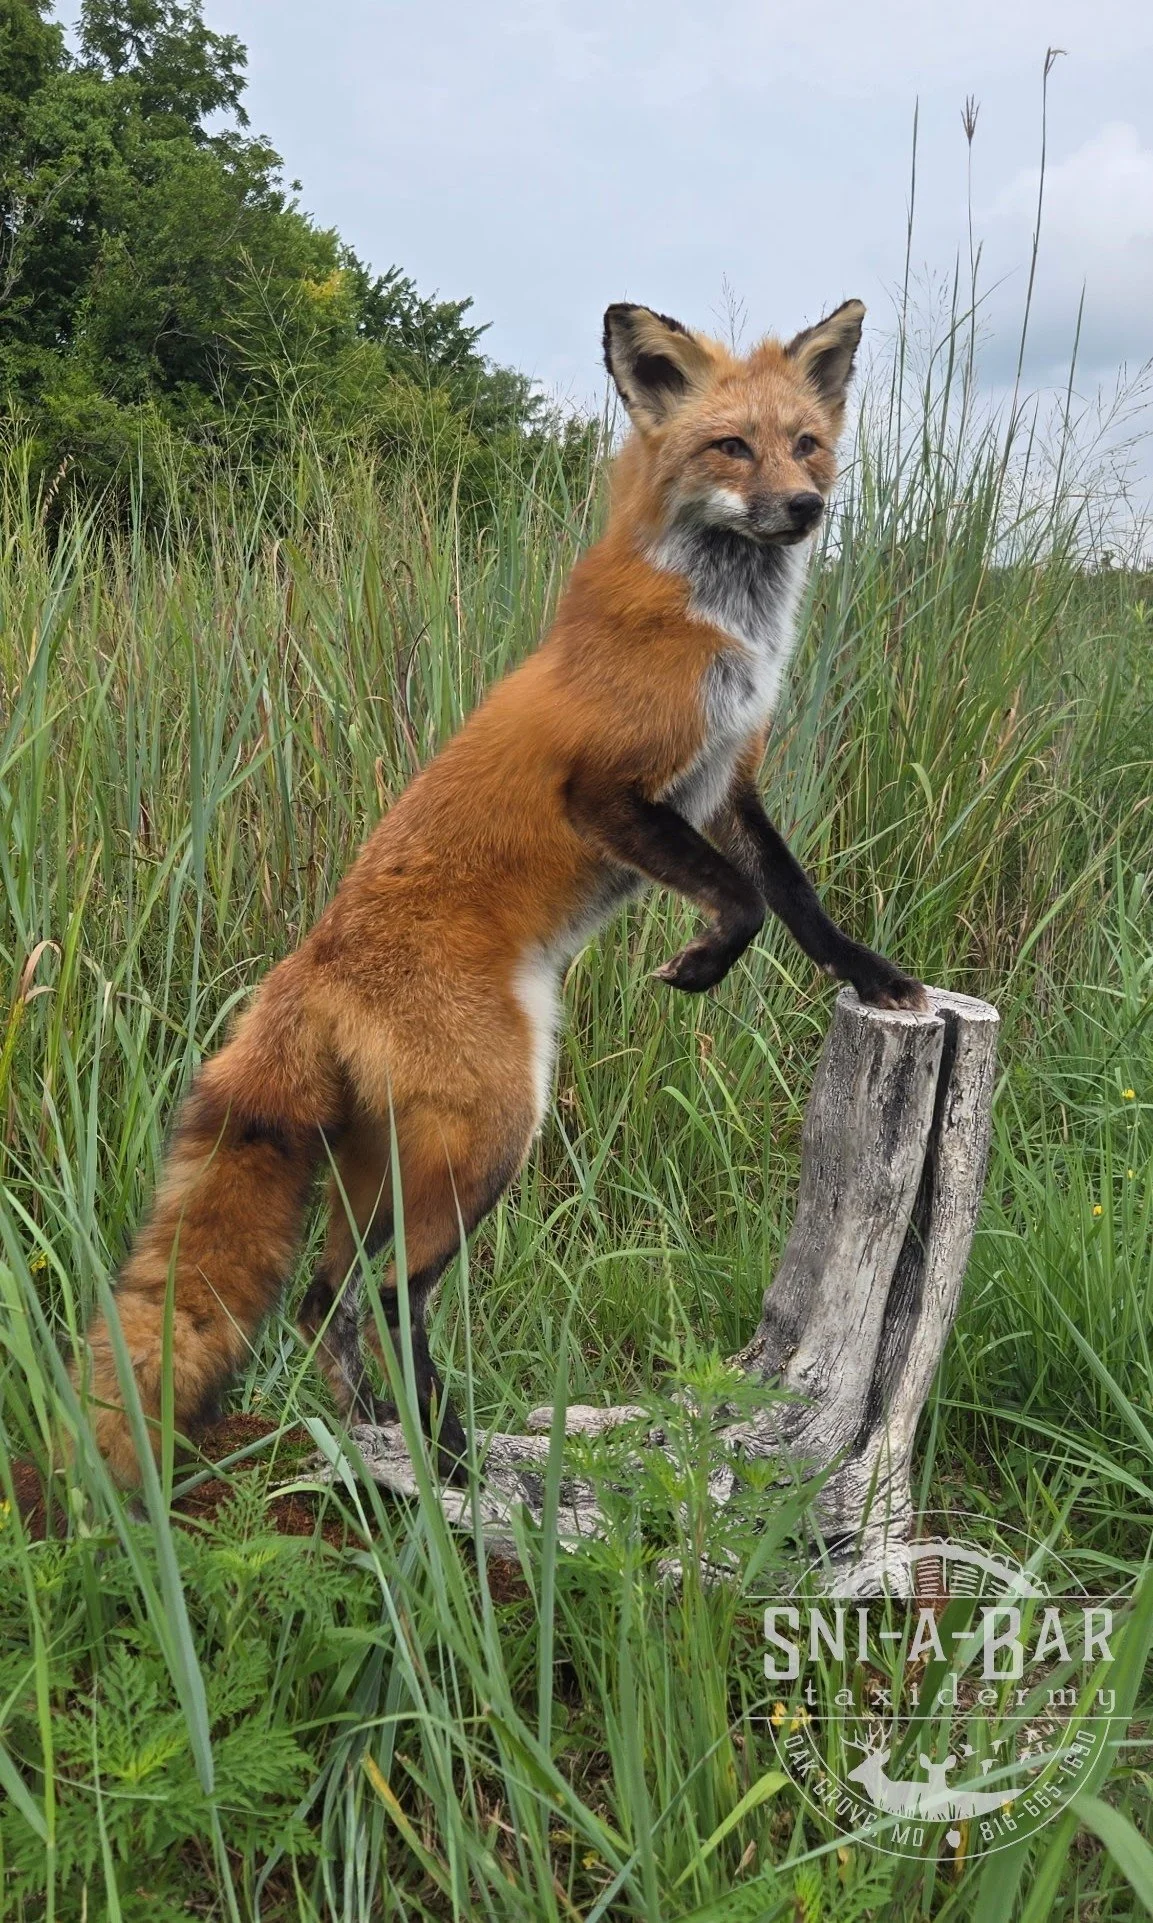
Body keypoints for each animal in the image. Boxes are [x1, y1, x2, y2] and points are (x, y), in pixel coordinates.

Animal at [77, 295, 927, 1490]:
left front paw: (872, 974)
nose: (804, 508)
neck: (722, 626)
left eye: (806, 443)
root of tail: (309, 966)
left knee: (326, 1301)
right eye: (730, 447)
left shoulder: (728, 781)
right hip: (489, 1138)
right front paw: (705, 962)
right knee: (382, 1299)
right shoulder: (610, 789)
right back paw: (448, 1462)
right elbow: (744, 904)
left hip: (385, 1167)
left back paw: (384, 1437)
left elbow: (798, 898)